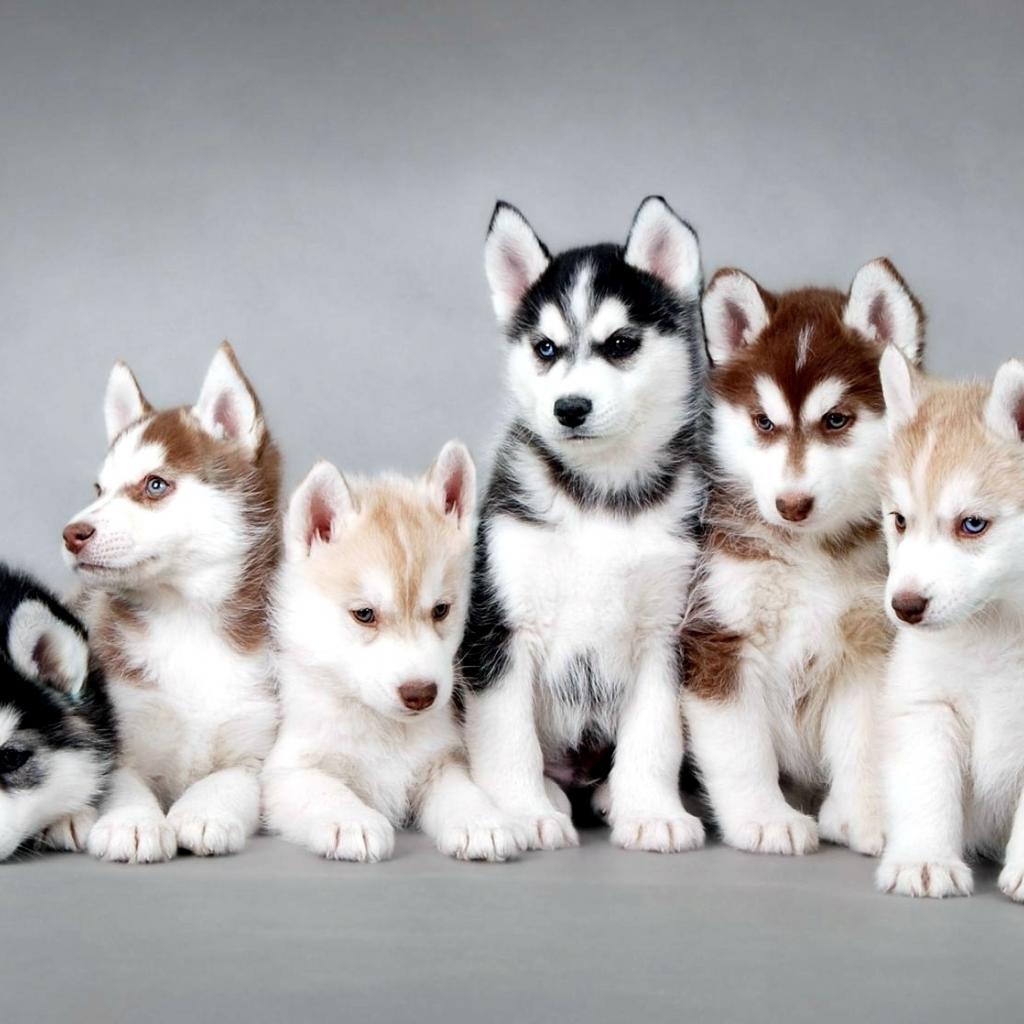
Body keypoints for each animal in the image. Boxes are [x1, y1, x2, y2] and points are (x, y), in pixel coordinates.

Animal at [62, 343, 281, 862]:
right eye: (99, 490)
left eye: (155, 485)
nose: (72, 534)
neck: (186, 621)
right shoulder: (118, 734)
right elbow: (122, 782)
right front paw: (132, 822)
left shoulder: (256, 746)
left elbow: (230, 779)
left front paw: (203, 812)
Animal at [262, 444, 527, 862]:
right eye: (364, 614)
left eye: (441, 610)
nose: (421, 694)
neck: (384, 728)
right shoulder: (284, 772)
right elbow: (324, 789)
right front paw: (351, 821)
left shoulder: (441, 761)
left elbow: (461, 791)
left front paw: (481, 821)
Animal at [459, 197, 709, 852]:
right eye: (545, 349)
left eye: (620, 343)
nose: (569, 408)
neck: (601, 496)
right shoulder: (500, 628)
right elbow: (507, 737)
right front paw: (521, 813)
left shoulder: (666, 632)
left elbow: (655, 737)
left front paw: (652, 812)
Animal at [681, 259, 924, 855]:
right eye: (763, 423)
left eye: (836, 420)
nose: (791, 504)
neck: (807, 554)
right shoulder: (719, 636)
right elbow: (741, 748)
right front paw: (764, 819)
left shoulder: (868, 647)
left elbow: (866, 740)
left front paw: (866, 816)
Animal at [876, 352, 1024, 900]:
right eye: (900, 520)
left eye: (973, 524)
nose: (905, 606)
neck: (998, 629)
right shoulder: (926, 705)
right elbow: (928, 786)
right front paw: (924, 860)